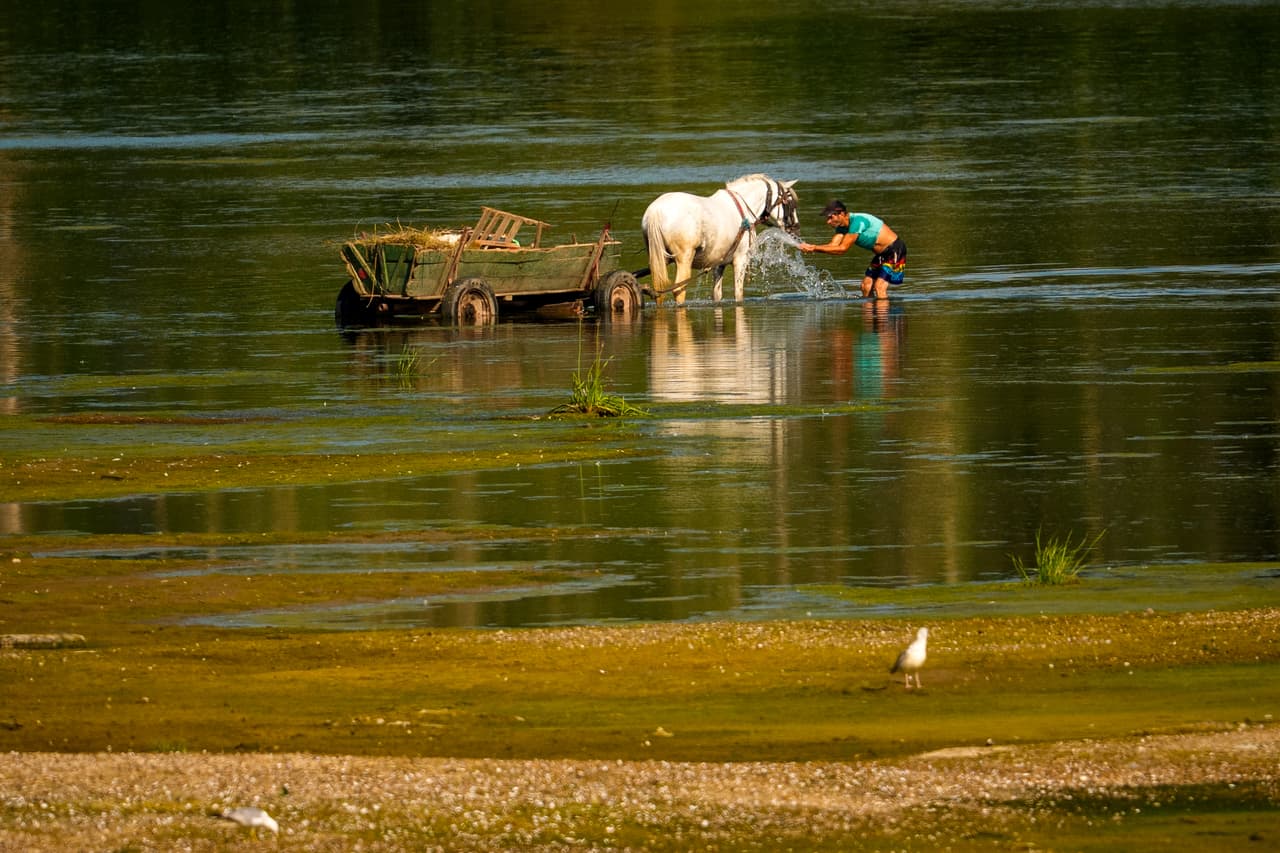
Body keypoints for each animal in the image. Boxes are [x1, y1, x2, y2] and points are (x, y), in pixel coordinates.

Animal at [642, 173, 800, 304]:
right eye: (790, 202)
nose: (796, 227)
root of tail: (655, 211)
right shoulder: (740, 259)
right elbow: (738, 294)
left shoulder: (718, 264)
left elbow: (716, 295)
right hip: (684, 259)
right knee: (678, 290)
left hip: (659, 260)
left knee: (659, 292)